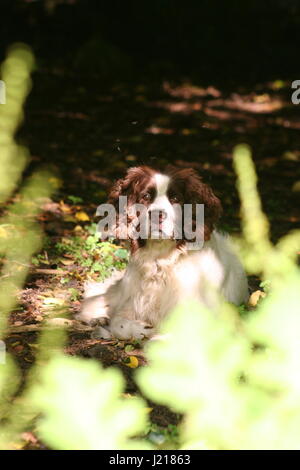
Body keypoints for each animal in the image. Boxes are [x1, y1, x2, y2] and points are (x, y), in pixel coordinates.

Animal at [77, 167, 248, 340]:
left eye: (175, 198)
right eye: (146, 196)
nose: (156, 215)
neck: (161, 260)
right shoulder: (131, 304)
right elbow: (119, 324)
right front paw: (141, 329)